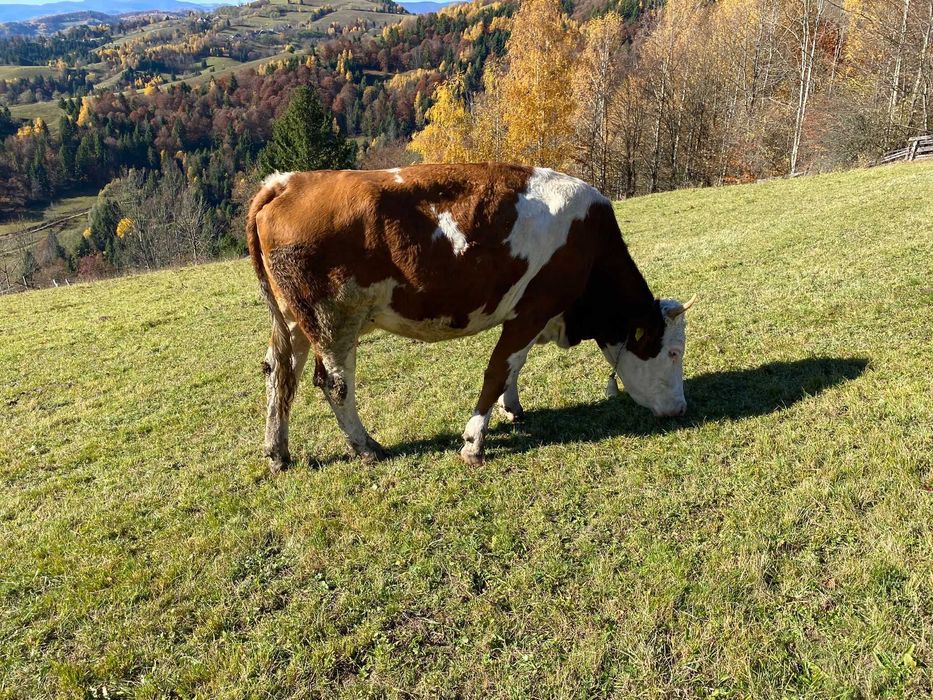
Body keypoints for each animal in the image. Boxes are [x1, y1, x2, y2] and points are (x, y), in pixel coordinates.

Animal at [246, 163, 694, 472]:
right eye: (673, 353)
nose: (681, 408)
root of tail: (287, 181)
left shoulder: (529, 315)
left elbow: (514, 367)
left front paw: (513, 408)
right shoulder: (534, 308)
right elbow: (498, 369)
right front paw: (474, 442)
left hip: (293, 320)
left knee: (279, 372)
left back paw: (277, 452)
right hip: (333, 318)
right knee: (335, 384)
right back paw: (366, 447)